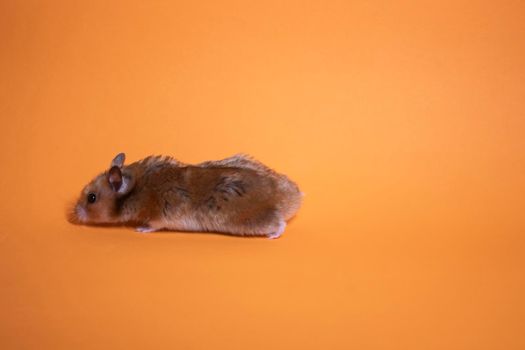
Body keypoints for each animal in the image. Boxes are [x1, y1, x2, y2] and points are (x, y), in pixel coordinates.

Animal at [68, 153, 302, 238]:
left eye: (91, 198)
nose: (73, 215)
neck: (137, 188)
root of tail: (294, 196)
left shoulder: (159, 217)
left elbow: (152, 225)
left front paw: (140, 229)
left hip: (250, 220)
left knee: (279, 223)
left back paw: (273, 235)